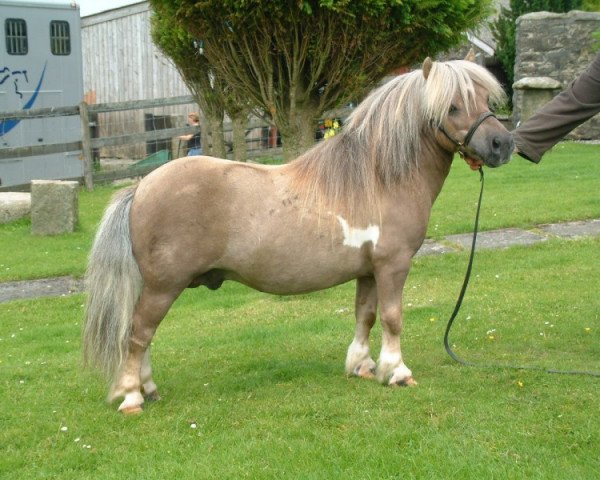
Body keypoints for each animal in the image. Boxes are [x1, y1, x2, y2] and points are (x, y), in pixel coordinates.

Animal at [83, 55, 516, 412]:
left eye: (484, 98)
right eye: (452, 105)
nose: (502, 144)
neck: (378, 177)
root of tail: (141, 187)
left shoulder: (368, 271)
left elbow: (366, 315)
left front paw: (362, 366)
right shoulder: (392, 266)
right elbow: (393, 318)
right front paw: (396, 371)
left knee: (142, 334)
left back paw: (148, 388)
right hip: (162, 287)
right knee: (138, 334)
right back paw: (133, 396)